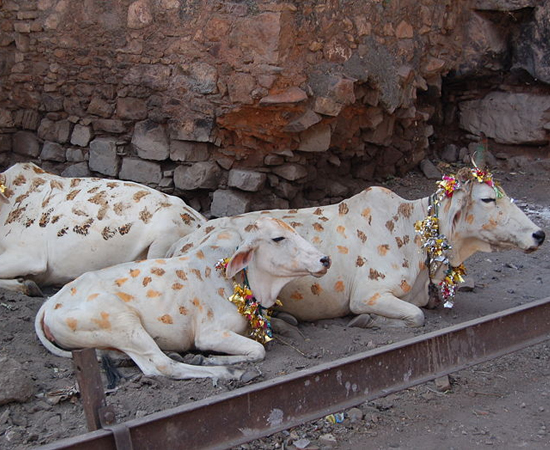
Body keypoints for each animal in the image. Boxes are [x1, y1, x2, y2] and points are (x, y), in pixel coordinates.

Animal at [36, 217, 334, 380]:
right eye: (278, 238)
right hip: (123, 322)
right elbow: (258, 350)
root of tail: (50, 304)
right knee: (161, 366)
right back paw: (227, 373)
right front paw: (212, 360)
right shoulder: (209, 333)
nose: (325, 259)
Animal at [169, 167, 548, 328]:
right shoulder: (369, 293)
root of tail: (180, 243)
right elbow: (416, 316)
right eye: (486, 199)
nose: (538, 235)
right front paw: (367, 321)